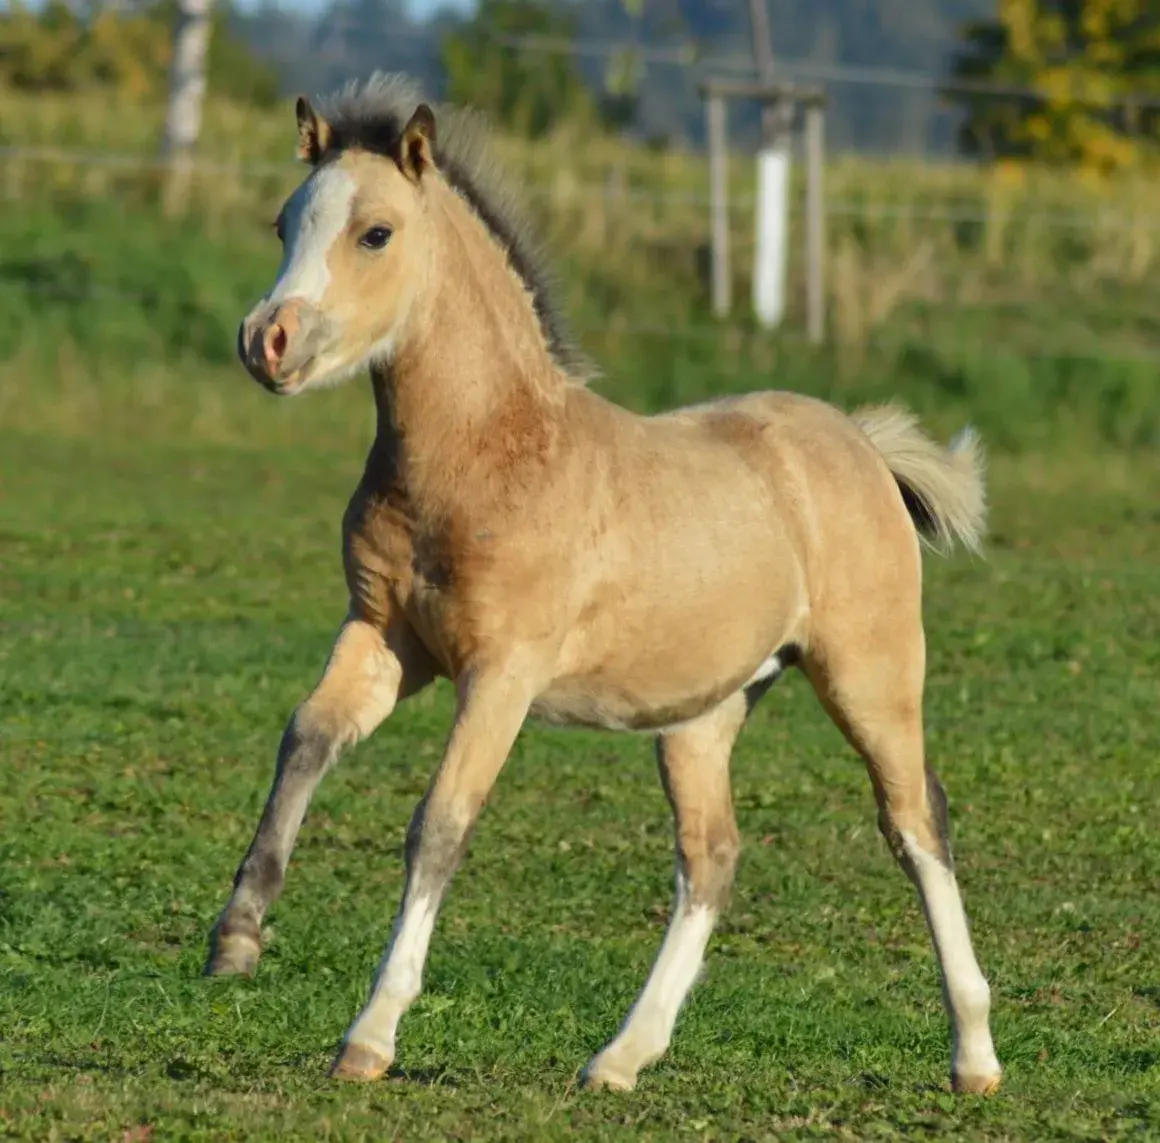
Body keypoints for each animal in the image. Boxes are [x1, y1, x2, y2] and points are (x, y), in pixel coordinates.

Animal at [208, 72, 1002, 1097]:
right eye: (284, 222)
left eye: (374, 232)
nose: (268, 341)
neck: (484, 453)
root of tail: (861, 442)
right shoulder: (385, 635)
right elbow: (305, 737)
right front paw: (236, 936)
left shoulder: (501, 672)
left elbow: (440, 823)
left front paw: (371, 1031)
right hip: (704, 711)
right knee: (710, 856)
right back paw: (621, 1055)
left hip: (870, 672)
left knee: (914, 822)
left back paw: (974, 1051)